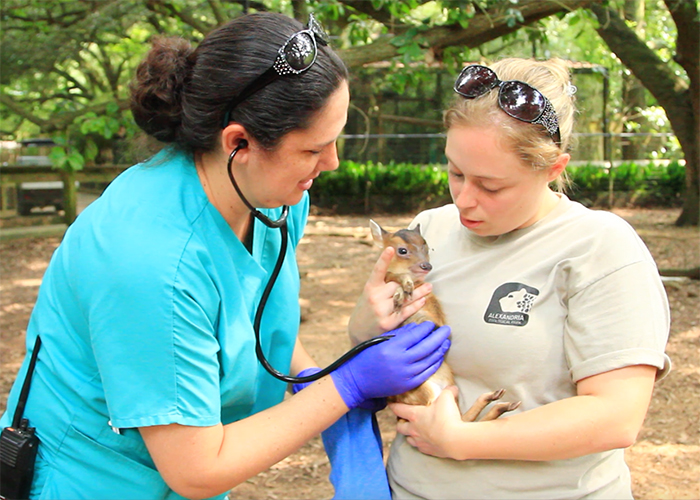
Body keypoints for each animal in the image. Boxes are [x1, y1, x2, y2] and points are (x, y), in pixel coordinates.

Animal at [370, 221, 524, 420]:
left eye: (426, 246)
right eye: (402, 250)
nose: (426, 265)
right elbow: (394, 277)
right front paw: (401, 292)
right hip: (422, 390)